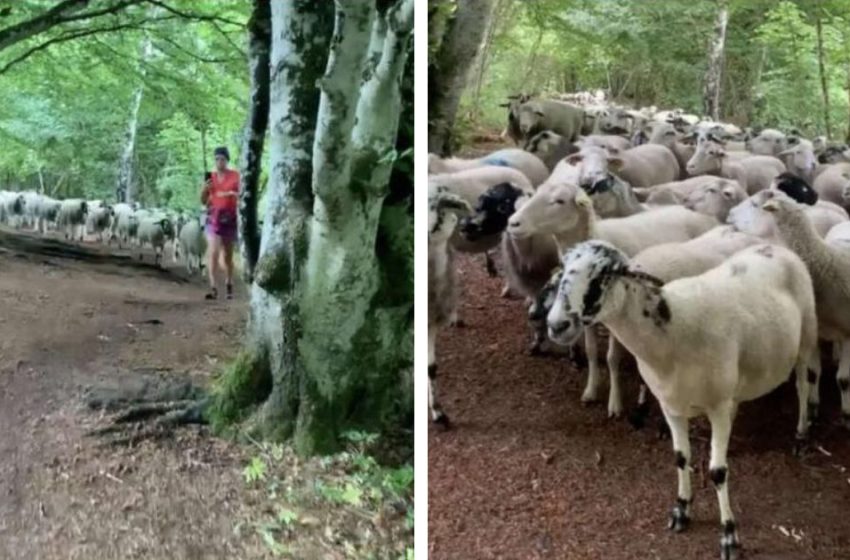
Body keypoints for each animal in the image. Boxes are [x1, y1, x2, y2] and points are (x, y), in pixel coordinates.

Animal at [544, 240, 816, 560]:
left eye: (605, 274)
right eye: (562, 270)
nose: (556, 325)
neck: (670, 335)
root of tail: (775, 246)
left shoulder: (717, 406)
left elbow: (718, 472)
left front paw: (729, 536)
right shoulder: (670, 406)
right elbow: (680, 457)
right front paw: (681, 510)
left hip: (806, 337)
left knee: (803, 384)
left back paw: (801, 434)